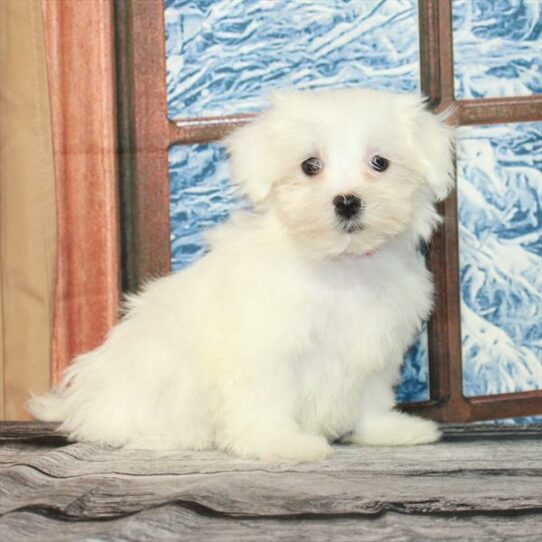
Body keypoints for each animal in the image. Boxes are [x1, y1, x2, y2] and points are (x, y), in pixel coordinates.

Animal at [29, 89, 454, 464]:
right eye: (310, 165)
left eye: (380, 162)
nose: (347, 201)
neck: (340, 264)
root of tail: (81, 401)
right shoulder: (264, 350)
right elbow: (265, 398)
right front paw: (281, 443)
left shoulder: (374, 345)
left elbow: (371, 395)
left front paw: (386, 430)